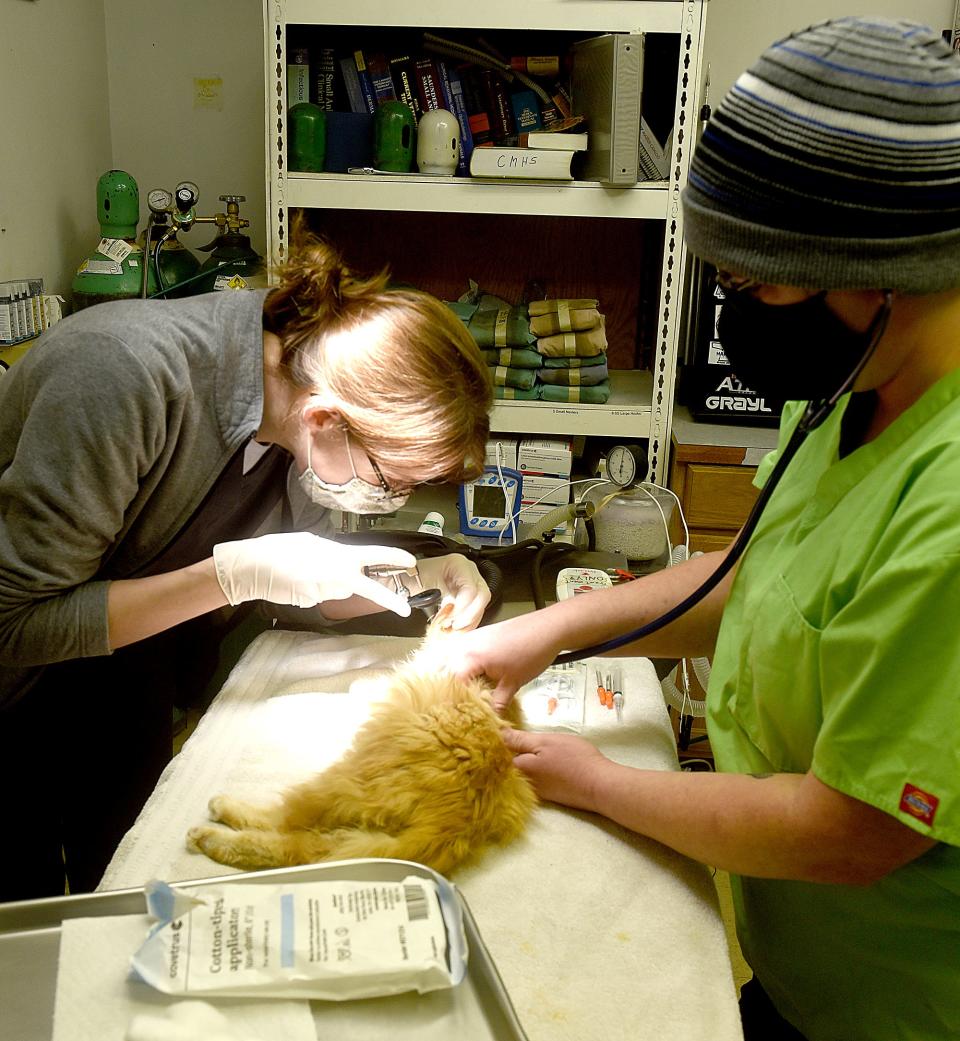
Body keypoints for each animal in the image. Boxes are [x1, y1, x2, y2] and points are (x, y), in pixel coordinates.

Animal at [183, 607, 533, 874]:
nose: (439, 614)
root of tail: (463, 817)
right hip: (355, 823)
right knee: (304, 850)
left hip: (337, 785)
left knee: (280, 829)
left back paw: (211, 825)